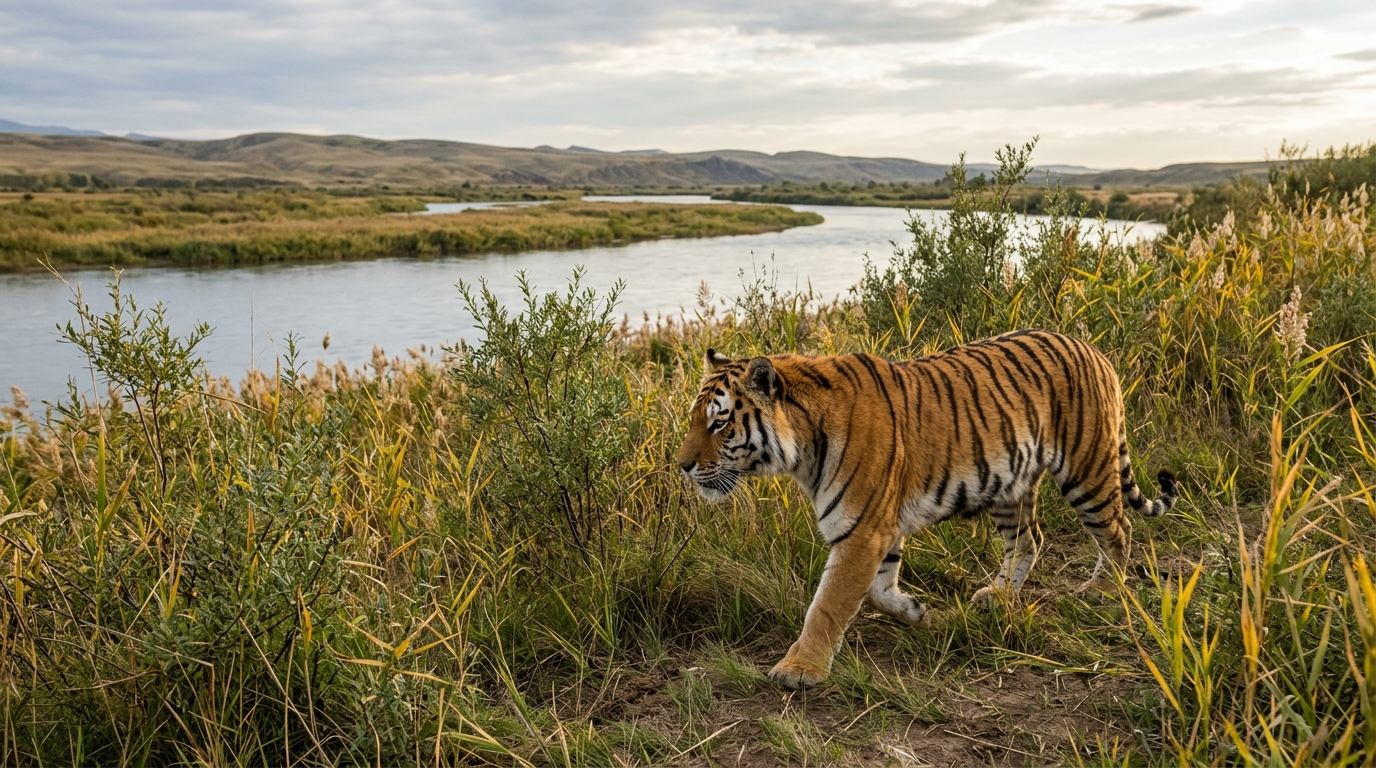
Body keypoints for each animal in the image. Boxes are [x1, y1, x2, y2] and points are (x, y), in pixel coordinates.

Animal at [675, 329, 1178, 689]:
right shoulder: (880, 526)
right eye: (695, 420)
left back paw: (1104, 590)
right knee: (1030, 540)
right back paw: (997, 596)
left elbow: (829, 604)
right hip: (1009, 488)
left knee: (1118, 530)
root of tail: (1093, 349)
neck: (802, 447)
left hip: (1086, 471)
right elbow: (876, 592)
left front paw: (800, 668)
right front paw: (916, 612)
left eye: (719, 423)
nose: (682, 466)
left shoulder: (862, 529)